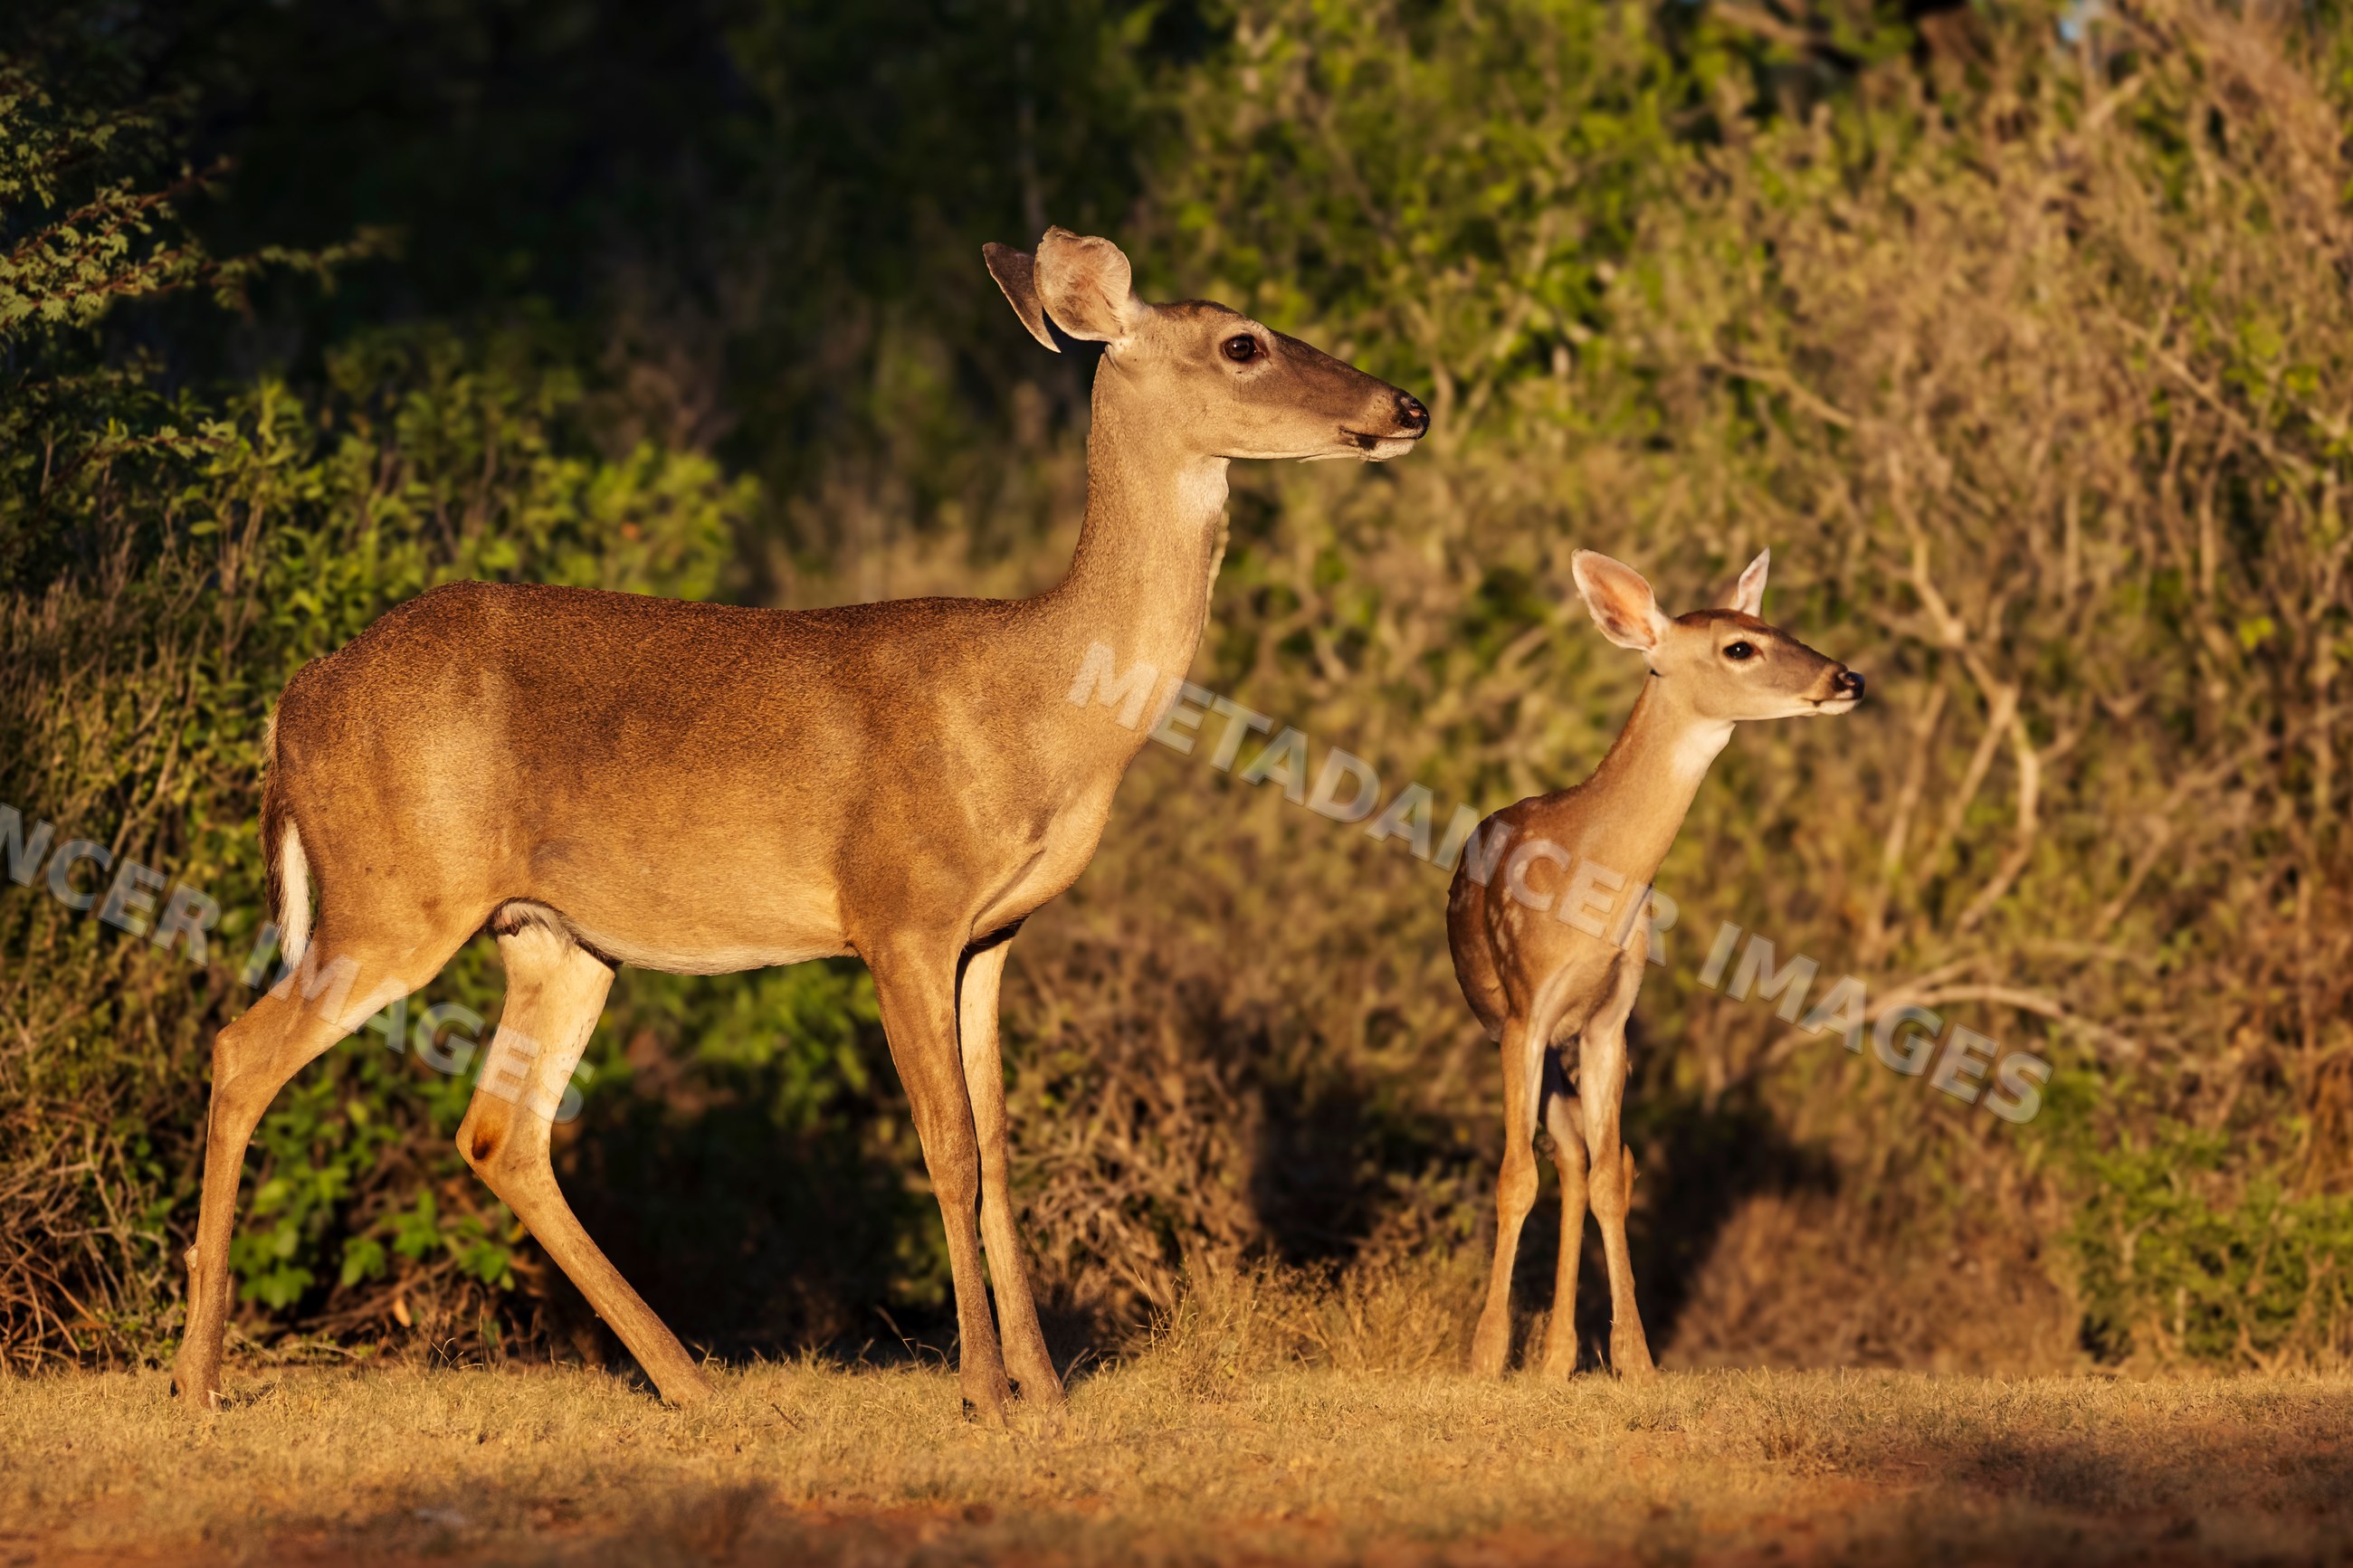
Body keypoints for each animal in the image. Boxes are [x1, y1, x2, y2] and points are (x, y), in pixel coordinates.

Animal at [170, 227, 1429, 1419]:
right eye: (1242, 343)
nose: (1405, 407)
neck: (1044, 709)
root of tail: (296, 698)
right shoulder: (898, 909)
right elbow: (947, 1146)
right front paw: (982, 1391)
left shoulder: (990, 935)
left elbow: (1000, 1147)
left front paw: (1046, 1386)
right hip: (394, 897)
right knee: (242, 1050)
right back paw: (200, 1375)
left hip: (552, 934)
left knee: (501, 1129)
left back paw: (689, 1377)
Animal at [1447, 548, 1861, 1379]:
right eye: (1741, 647)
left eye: (1778, 625)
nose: (1848, 678)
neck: (1590, 894)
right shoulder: (1525, 1012)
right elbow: (1513, 1177)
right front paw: (1483, 1356)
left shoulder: (1611, 1018)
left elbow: (1612, 1174)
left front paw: (1635, 1358)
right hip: (1521, 1032)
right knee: (1557, 1154)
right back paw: (1539, 1353)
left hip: (1577, 1044)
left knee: (1584, 1156)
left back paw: (1558, 1355)